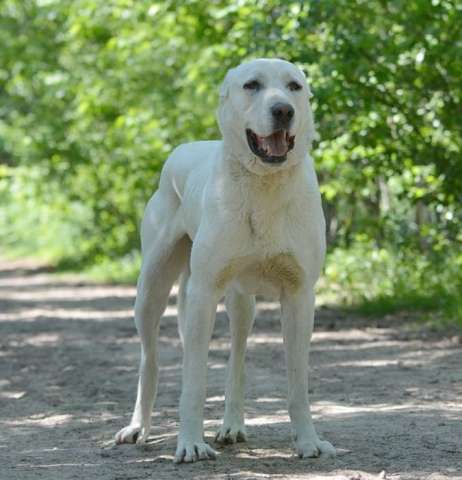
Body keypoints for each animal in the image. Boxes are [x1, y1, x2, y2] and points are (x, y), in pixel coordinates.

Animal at [113, 58, 334, 464]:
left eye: (294, 86)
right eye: (252, 85)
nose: (283, 111)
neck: (264, 185)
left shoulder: (299, 297)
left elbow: (297, 381)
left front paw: (309, 442)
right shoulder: (203, 295)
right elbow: (194, 380)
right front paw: (190, 444)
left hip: (241, 302)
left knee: (237, 359)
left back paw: (232, 425)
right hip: (151, 290)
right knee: (151, 358)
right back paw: (139, 426)